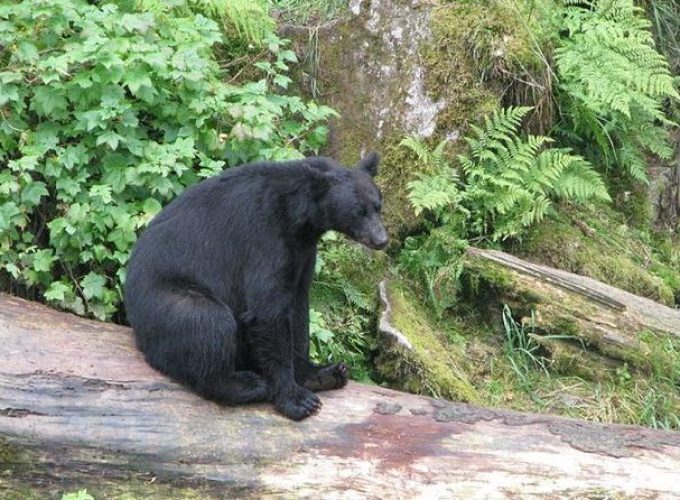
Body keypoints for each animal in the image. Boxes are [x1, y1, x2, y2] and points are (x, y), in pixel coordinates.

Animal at [123, 154, 388, 420]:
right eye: (358, 211)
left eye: (378, 206)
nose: (382, 240)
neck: (298, 218)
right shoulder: (265, 240)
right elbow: (267, 311)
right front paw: (297, 399)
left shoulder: (302, 253)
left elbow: (299, 310)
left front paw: (316, 374)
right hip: (170, 302)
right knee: (210, 323)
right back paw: (249, 384)